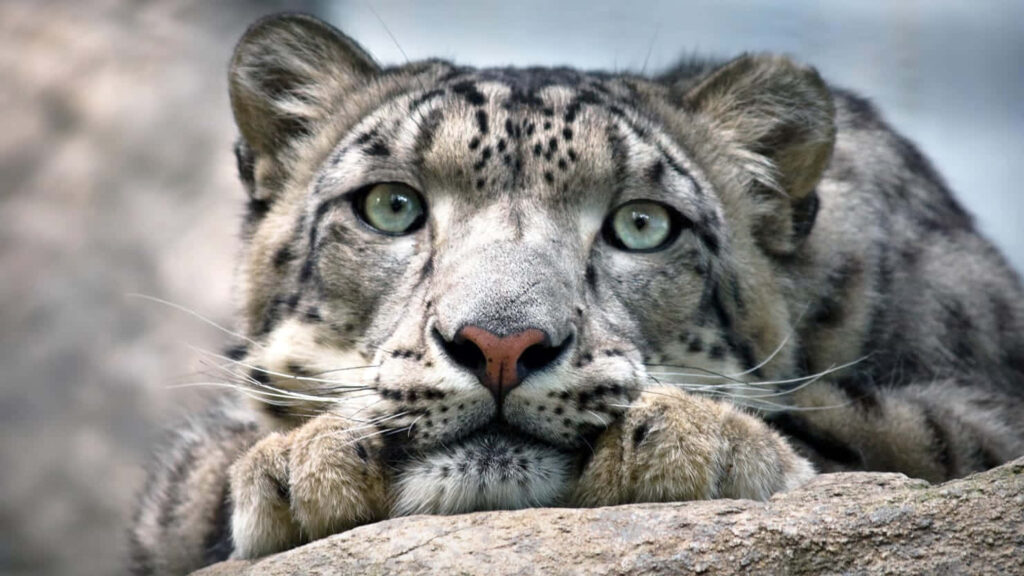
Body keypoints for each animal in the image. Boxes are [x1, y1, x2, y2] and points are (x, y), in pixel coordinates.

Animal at [129, 13, 1024, 575]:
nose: (500, 343)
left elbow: (878, 430)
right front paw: (302, 464)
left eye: (641, 224)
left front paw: (693, 440)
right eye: (391, 206)